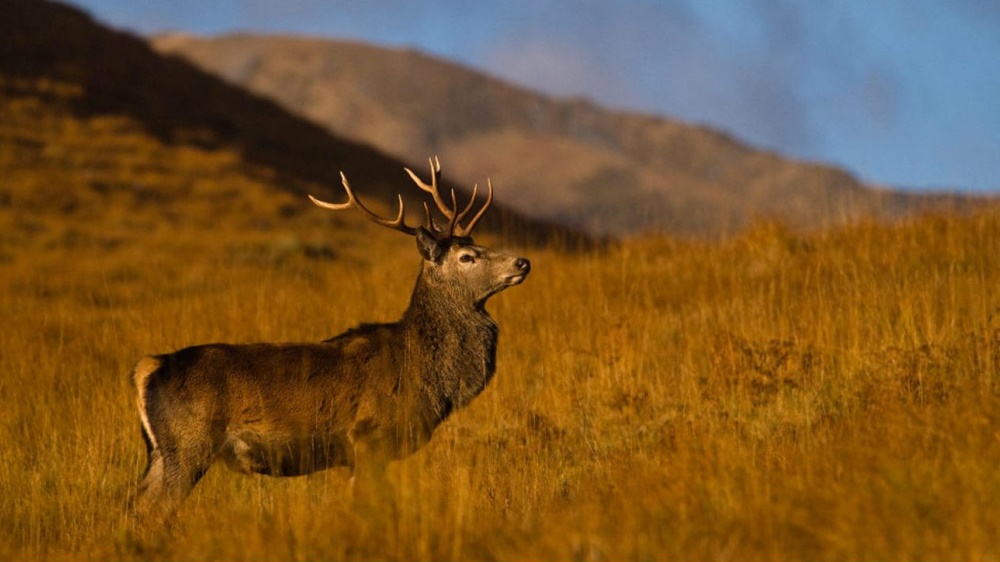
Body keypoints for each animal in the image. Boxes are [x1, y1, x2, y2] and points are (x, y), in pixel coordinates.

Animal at [133, 158, 532, 528]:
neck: (426, 371)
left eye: (477, 244)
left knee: (134, 505)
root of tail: (149, 368)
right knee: (153, 510)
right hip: (189, 443)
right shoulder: (369, 438)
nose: (523, 261)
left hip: (162, 452)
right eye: (467, 257)